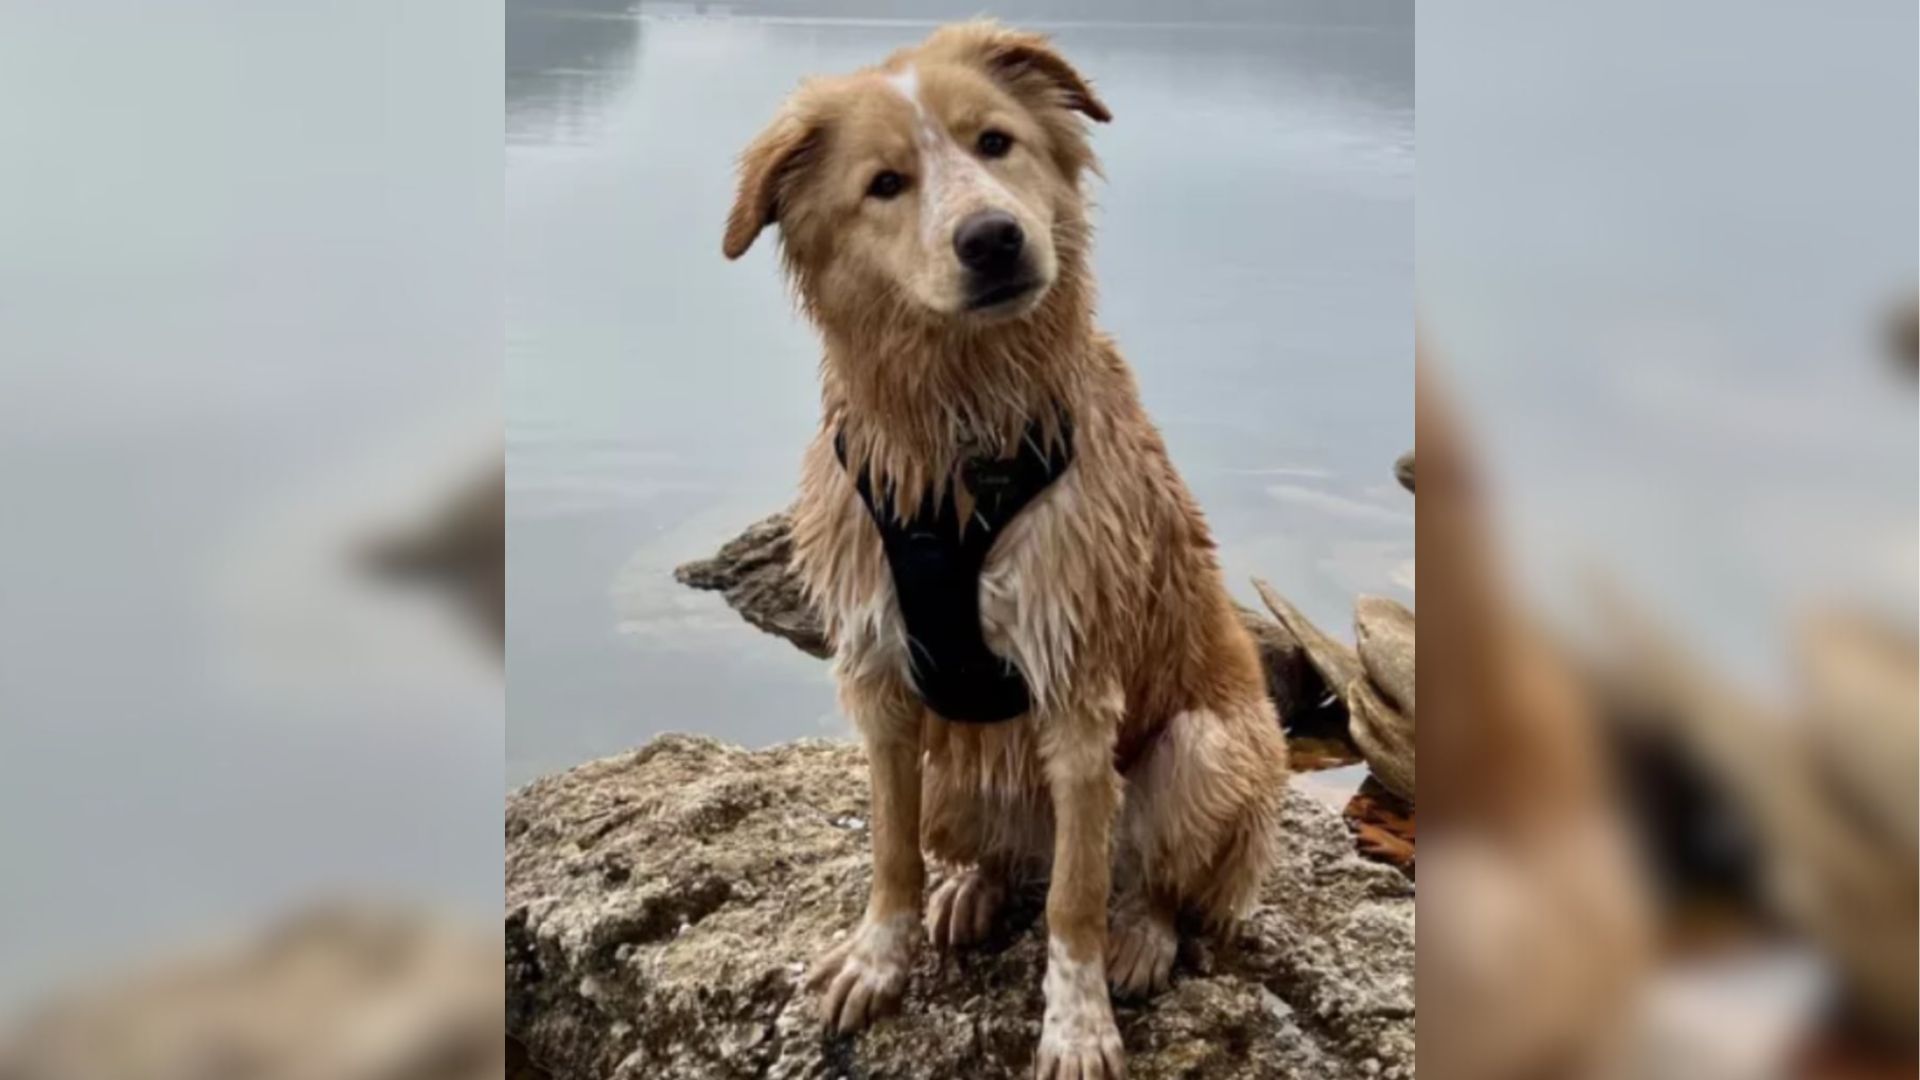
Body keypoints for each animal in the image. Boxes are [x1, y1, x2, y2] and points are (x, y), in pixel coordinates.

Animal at [721, 21, 1290, 1068]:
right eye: (885, 184)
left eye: (995, 142)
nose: (992, 239)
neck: (961, 421)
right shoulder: (879, 675)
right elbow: (890, 849)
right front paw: (880, 958)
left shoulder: (1075, 685)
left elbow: (1075, 901)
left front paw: (1076, 1024)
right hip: (960, 776)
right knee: (998, 856)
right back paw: (973, 889)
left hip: (1206, 748)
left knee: (1142, 877)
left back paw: (1141, 937)